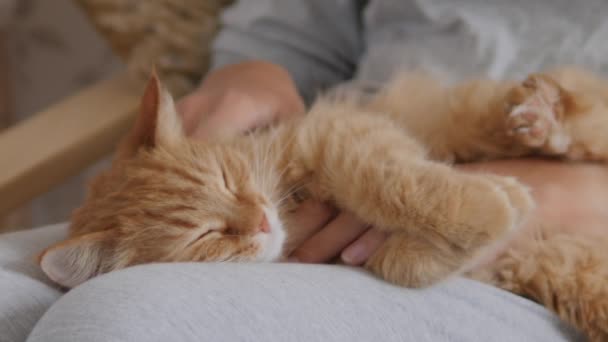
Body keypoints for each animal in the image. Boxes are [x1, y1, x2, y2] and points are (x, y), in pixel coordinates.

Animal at [40, 66, 604, 340]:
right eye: (205, 236)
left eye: (227, 180)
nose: (259, 220)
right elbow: (406, 264)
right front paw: (478, 221)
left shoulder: (337, 135)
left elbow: (393, 185)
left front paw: (484, 206)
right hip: (571, 280)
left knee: (582, 110)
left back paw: (542, 116)